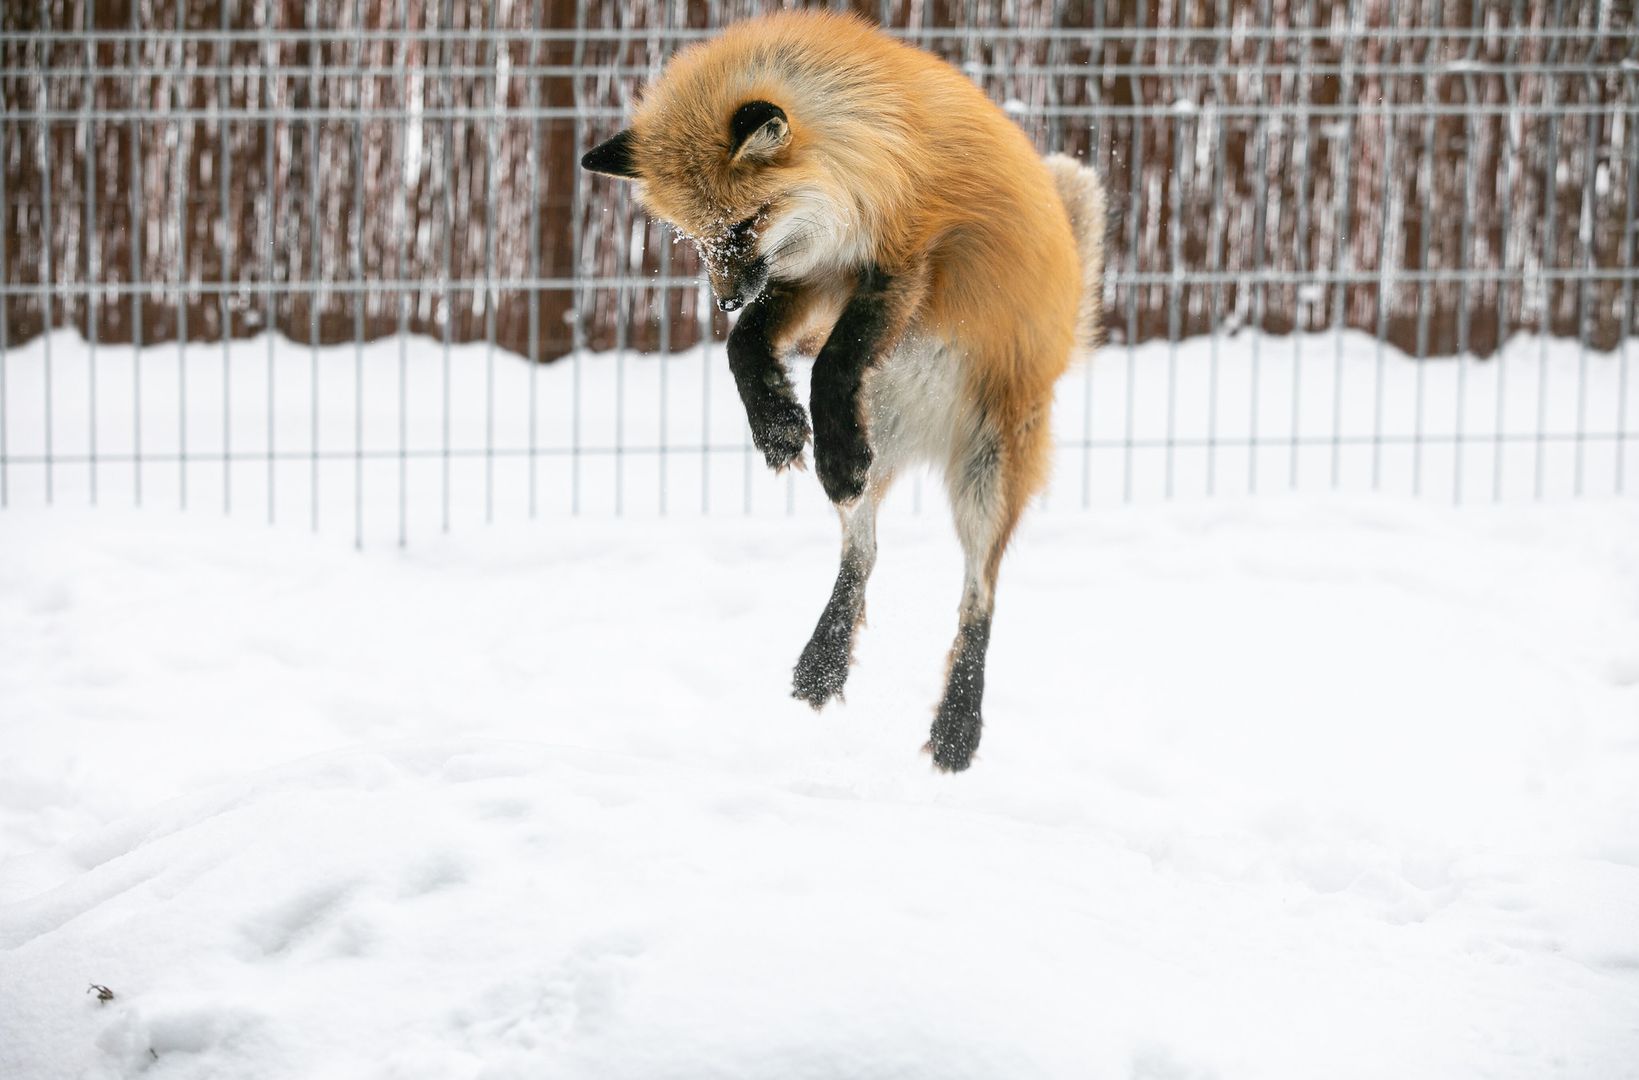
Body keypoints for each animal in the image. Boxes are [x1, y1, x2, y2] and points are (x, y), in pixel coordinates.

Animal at [581, 10, 1105, 772]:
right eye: (697, 237)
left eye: (745, 223)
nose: (726, 300)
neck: (876, 141)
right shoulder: (812, 272)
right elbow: (745, 350)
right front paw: (776, 424)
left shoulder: (907, 260)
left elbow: (833, 360)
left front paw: (813, 431)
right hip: (886, 441)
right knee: (862, 554)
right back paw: (822, 661)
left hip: (991, 471)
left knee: (977, 597)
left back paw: (958, 724)